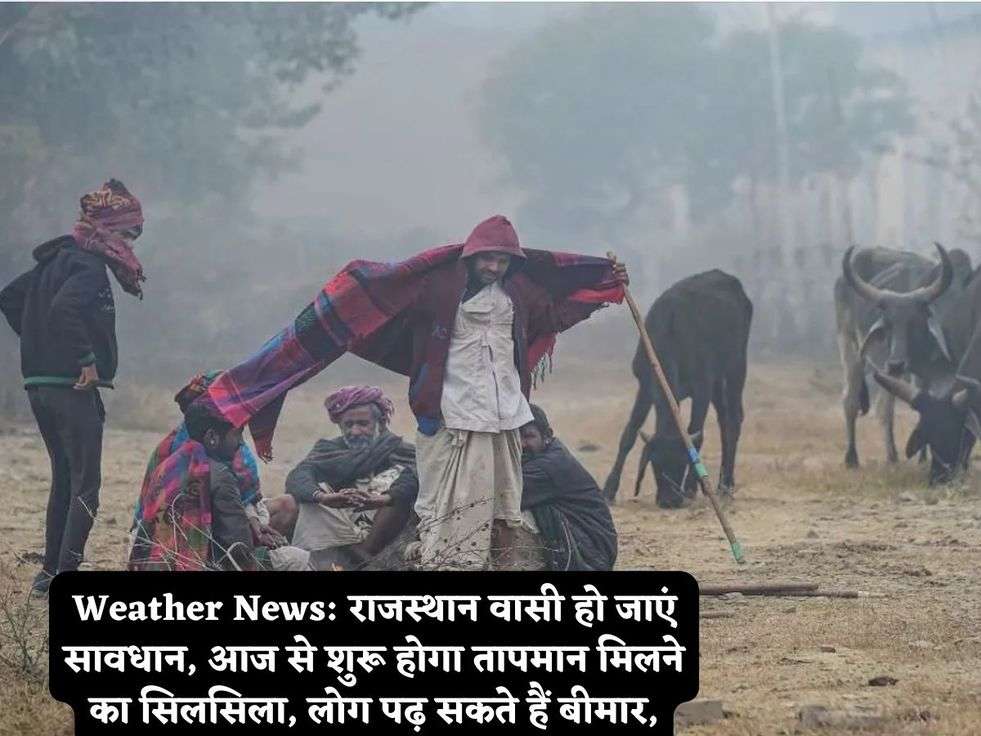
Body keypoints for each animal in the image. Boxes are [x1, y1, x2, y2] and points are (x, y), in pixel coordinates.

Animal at [600, 270, 756, 506]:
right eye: (655, 464)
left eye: (682, 463)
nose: (670, 500)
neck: (671, 335)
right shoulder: (645, 386)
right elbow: (629, 433)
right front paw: (609, 489)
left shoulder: (702, 388)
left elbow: (697, 434)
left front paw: (691, 488)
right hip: (718, 382)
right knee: (724, 421)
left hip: (736, 366)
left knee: (734, 419)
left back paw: (725, 484)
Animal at [832, 246, 968, 466]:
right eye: (886, 324)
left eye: (916, 323)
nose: (896, 363)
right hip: (850, 346)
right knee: (853, 400)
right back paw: (855, 458)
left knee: (882, 407)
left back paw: (892, 455)